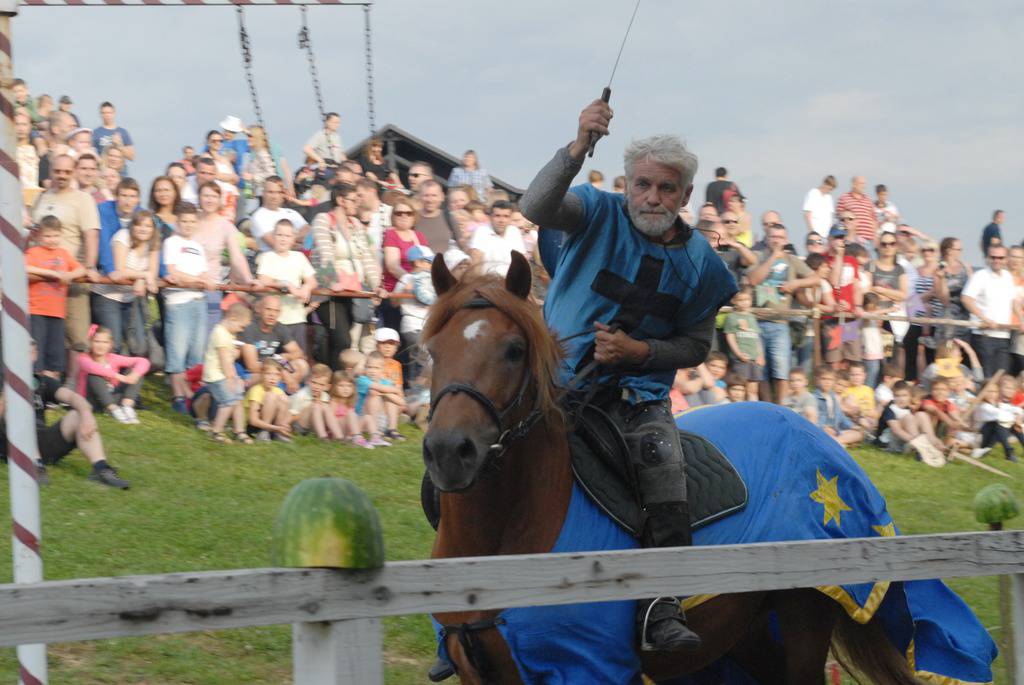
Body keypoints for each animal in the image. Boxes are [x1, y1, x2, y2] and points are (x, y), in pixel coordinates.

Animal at [423, 252, 929, 683]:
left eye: (513, 350)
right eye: (433, 351)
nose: (450, 450)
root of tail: (816, 433)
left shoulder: (587, 668)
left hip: (806, 611)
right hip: (744, 627)